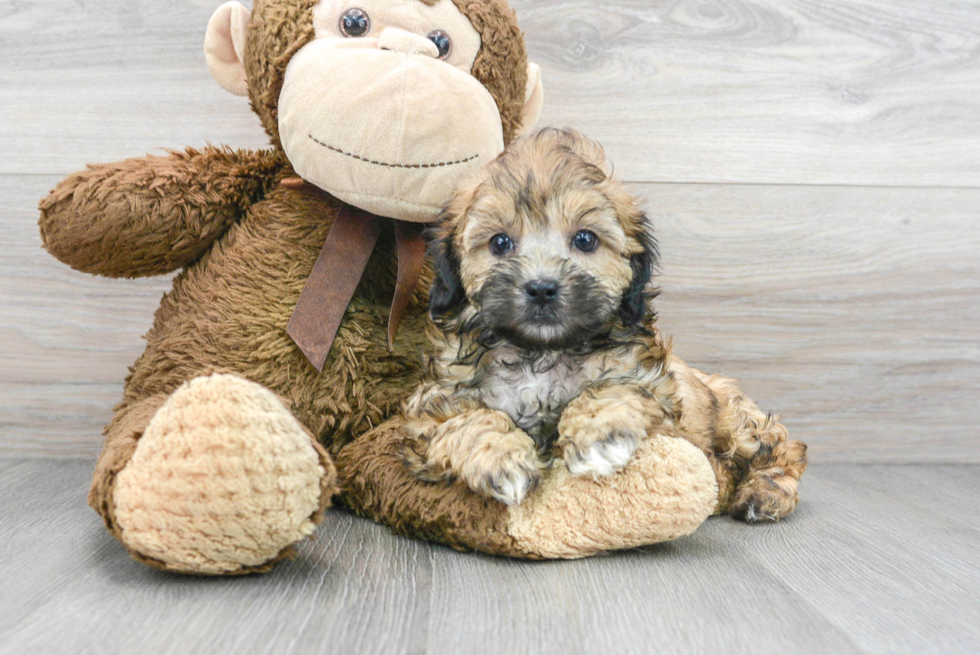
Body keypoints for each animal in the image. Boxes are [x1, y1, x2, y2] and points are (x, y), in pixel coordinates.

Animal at [402, 125, 808, 520]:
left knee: (781, 448)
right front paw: (503, 460)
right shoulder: (430, 409)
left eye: (585, 239)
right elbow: (469, 420)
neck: (541, 353)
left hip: (737, 422)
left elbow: (613, 390)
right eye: (500, 243)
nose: (541, 289)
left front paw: (597, 440)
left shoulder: (652, 387)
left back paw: (765, 493)